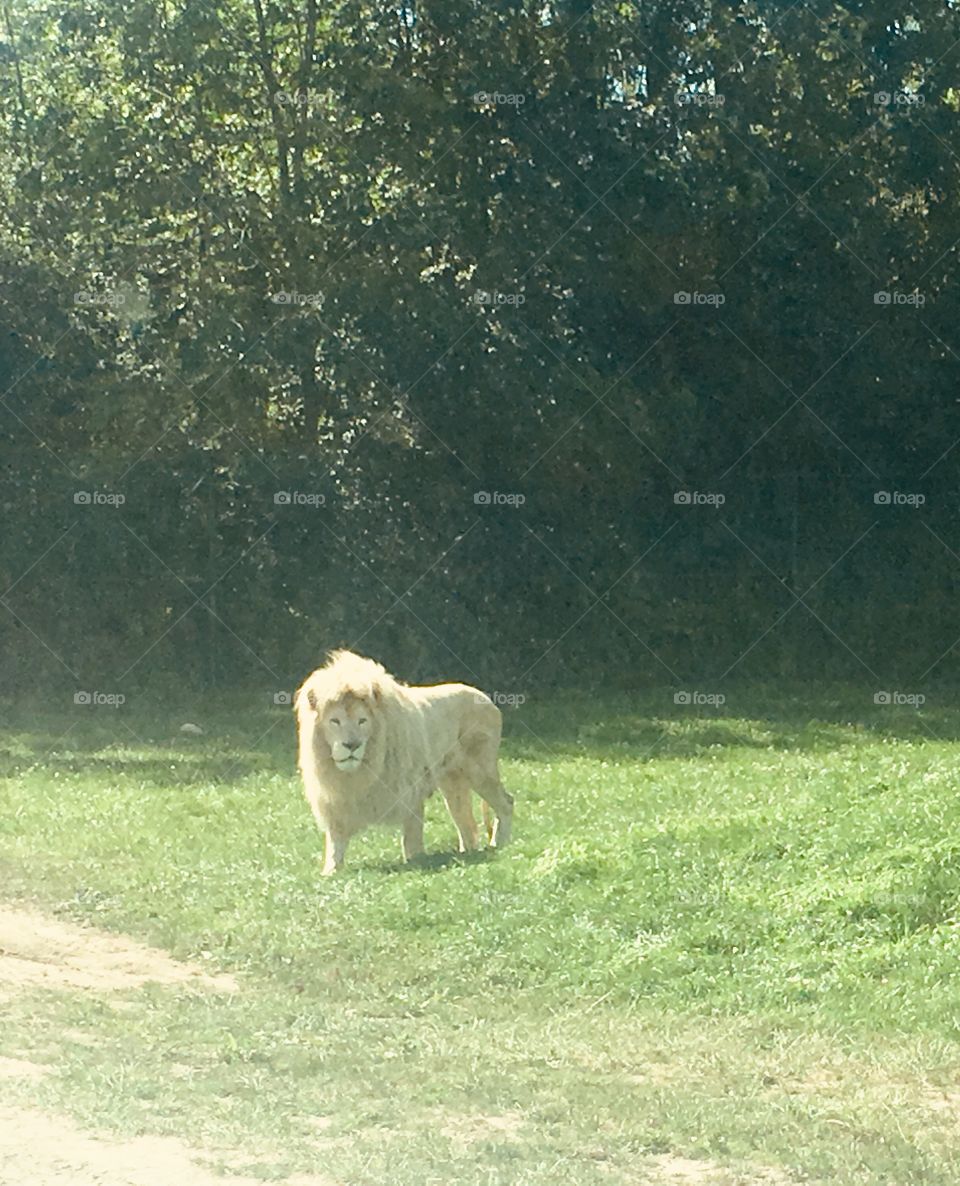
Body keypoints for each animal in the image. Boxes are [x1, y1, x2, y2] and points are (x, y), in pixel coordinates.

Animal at [294, 650, 514, 874]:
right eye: (335, 721)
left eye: (362, 721)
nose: (352, 745)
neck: (359, 771)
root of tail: (485, 698)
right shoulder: (336, 799)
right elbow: (335, 840)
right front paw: (330, 871)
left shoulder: (410, 787)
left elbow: (412, 831)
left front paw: (415, 861)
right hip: (452, 781)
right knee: (466, 821)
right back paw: (468, 853)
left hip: (480, 770)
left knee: (507, 802)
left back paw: (499, 844)